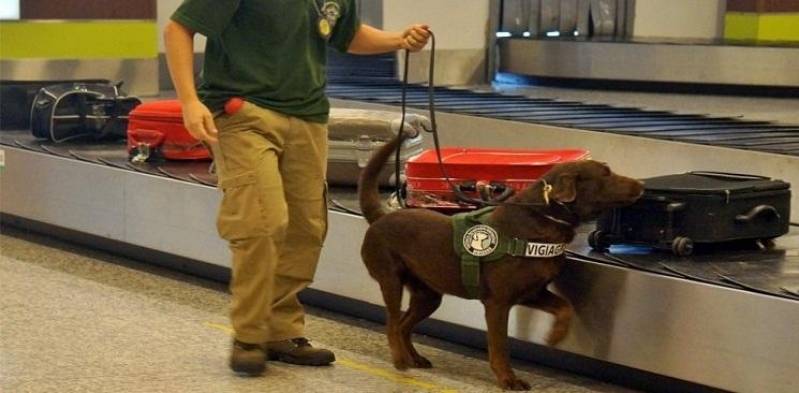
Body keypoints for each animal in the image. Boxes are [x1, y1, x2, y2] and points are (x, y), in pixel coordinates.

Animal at [356, 132, 644, 388]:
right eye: (606, 174)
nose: (642, 186)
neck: (544, 218)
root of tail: (380, 217)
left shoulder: (532, 292)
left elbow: (565, 307)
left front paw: (554, 336)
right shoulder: (498, 303)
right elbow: (499, 345)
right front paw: (508, 379)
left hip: (428, 295)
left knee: (403, 325)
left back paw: (414, 358)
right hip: (391, 280)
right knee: (392, 323)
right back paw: (399, 360)